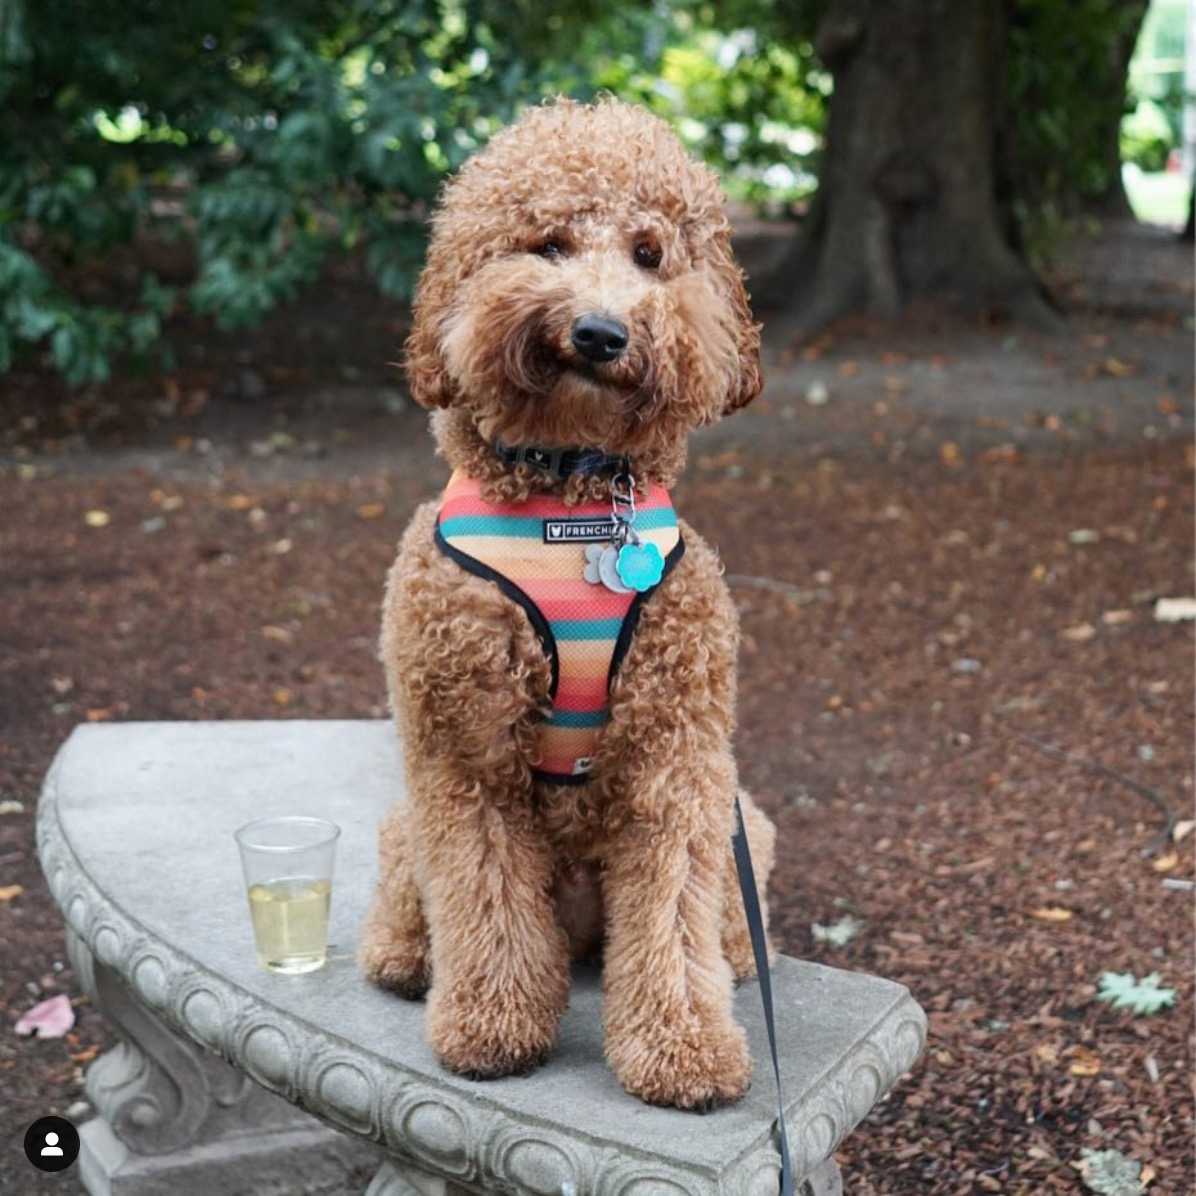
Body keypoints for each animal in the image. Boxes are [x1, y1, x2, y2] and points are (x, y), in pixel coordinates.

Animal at [358, 93, 779, 1109]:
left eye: (650, 254)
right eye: (547, 244)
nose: (598, 332)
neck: (573, 497)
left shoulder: (680, 756)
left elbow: (673, 909)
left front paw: (683, 1046)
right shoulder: (460, 752)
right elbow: (484, 894)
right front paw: (492, 1025)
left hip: (746, 815)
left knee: (710, 915)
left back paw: (737, 955)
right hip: (405, 818)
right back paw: (403, 956)